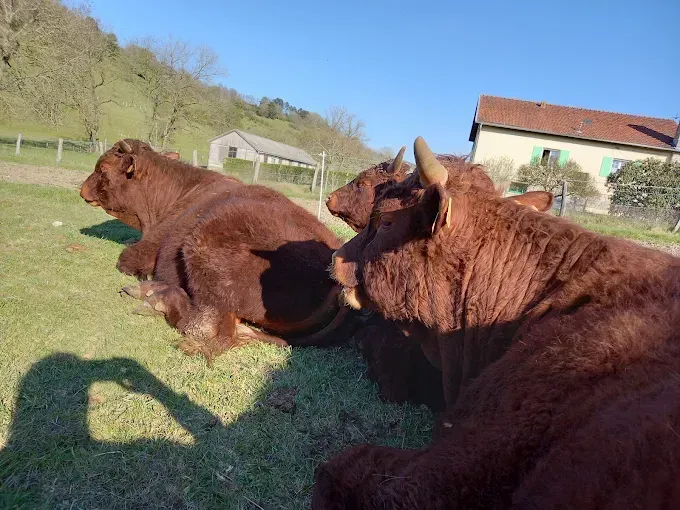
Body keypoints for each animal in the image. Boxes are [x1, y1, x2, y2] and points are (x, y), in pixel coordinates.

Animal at [80, 139, 354, 359]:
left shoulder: (145, 250)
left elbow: (126, 259)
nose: (82, 190)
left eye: (103, 169)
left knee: (207, 325)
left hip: (203, 244)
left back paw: (152, 296)